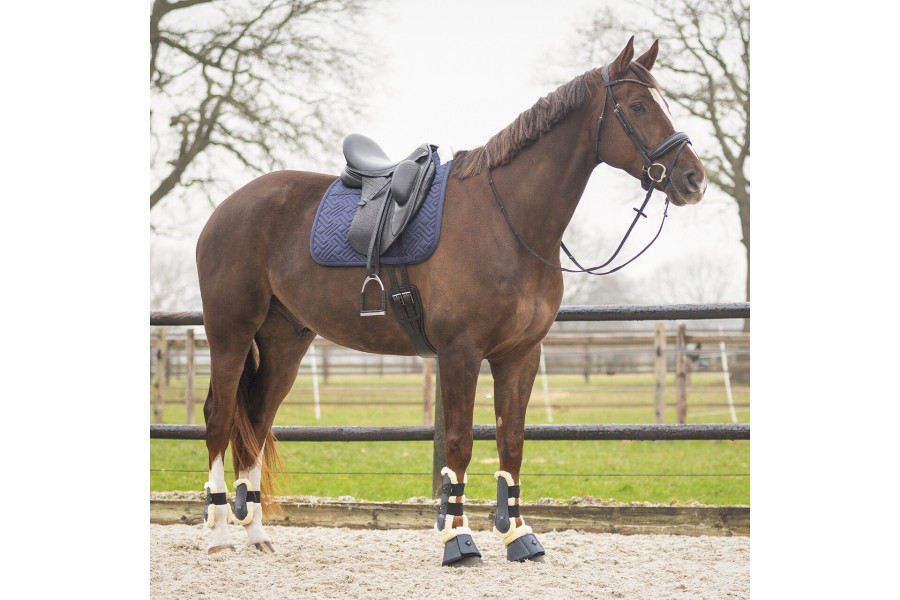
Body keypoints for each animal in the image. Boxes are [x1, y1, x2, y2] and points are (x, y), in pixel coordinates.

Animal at [195, 37, 707, 565]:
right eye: (639, 105)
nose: (694, 179)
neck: (507, 219)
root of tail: (229, 206)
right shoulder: (460, 353)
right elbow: (459, 444)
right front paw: (457, 539)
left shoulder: (520, 356)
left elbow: (511, 442)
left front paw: (519, 536)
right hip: (231, 333)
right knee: (219, 418)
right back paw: (217, 536)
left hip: (285, 343)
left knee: (255, 423)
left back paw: (257, 535)